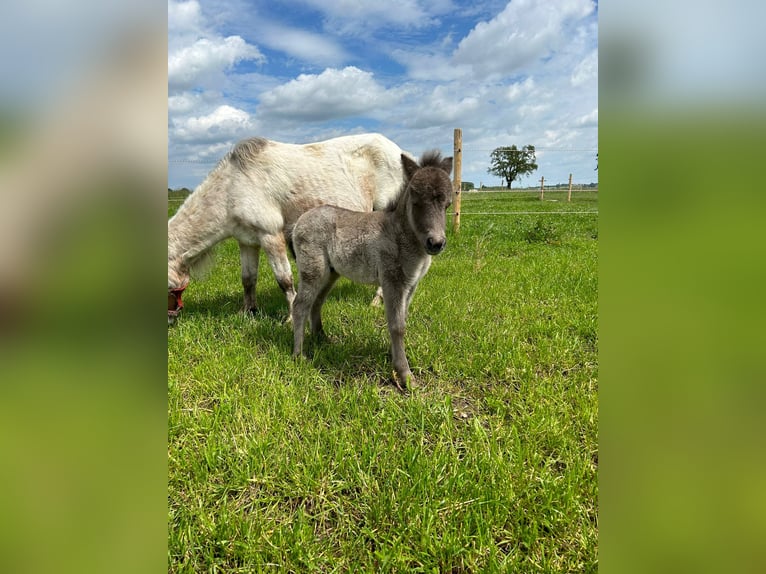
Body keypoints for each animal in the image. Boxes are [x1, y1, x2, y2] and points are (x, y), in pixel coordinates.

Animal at [167, 133, 408, 326]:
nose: (170, 319)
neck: (233, 187)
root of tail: (398, 151)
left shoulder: (271, 236)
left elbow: (284, 280)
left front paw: (291, 318)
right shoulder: (246, 242)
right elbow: (248, 278)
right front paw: (247, 312)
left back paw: (378, 301)